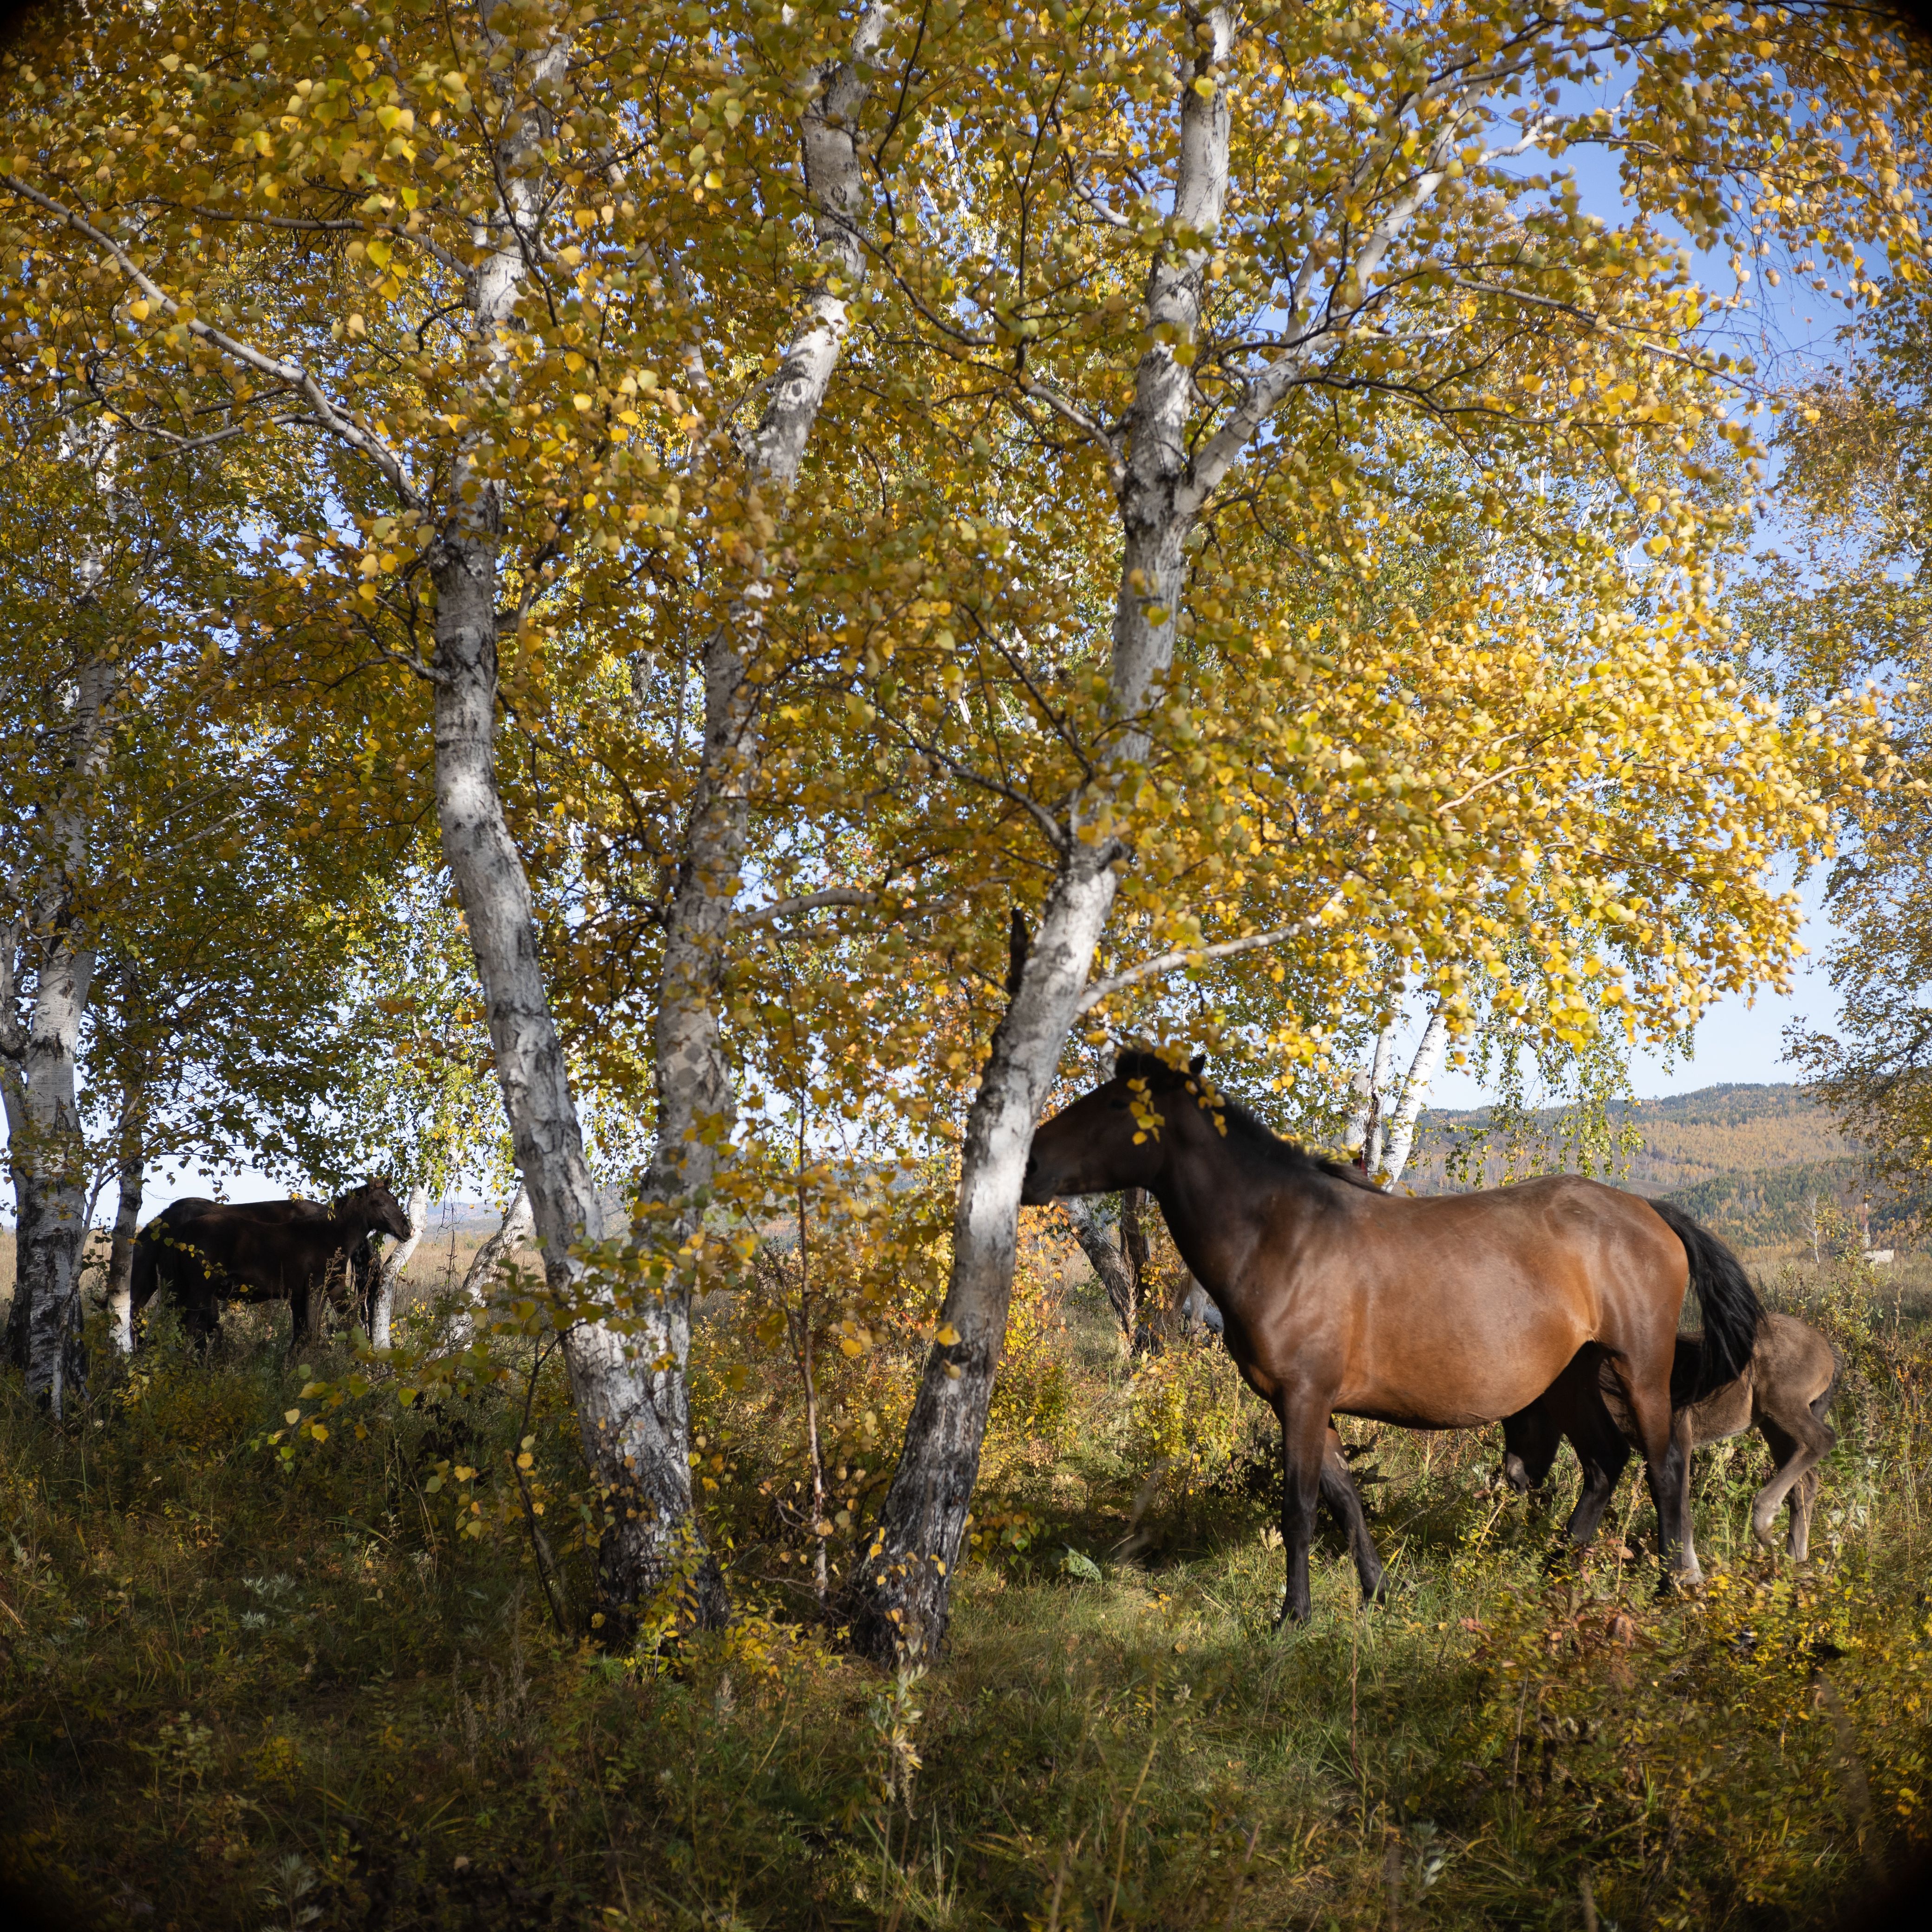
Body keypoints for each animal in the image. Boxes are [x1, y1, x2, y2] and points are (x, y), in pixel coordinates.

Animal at [130, 1182, 408, 1353]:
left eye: (395, 1200)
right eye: (381, 1204)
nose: (407, 1230)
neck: (327, 1234)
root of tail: (182, 1232)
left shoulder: (313, 1292)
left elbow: (311, 1332)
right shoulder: (315, 1292)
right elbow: (311, 1333)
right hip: (196, 1292)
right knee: (187, 1329)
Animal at [1020, 1052, 1761, 1624]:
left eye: (1117, 1106)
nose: (1026, 1168)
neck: (1282, 1235)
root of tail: (1650, 1212)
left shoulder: (1303, 1398)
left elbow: (1301, 1508)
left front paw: (1293, 1616)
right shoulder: (1303, 1404)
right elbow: (1345, 1501)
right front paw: (1378, 1593)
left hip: (1639, 1371)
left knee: (1664, 1469)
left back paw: (1671, 1586)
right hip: (1571, 1377)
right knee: (1606, 1463)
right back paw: (1554, 1576)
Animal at [1500, 1310, 1839, 1563]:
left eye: (1521, 1425)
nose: (1515, 1478)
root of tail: (1828, 1349)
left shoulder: (1679, 1439)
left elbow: (1682, 1510)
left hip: (1781, 1405)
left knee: (1822, 1440)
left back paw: (1765, 1519)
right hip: (1772, 1423)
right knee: (1806, 1482)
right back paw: (1796, 1562)